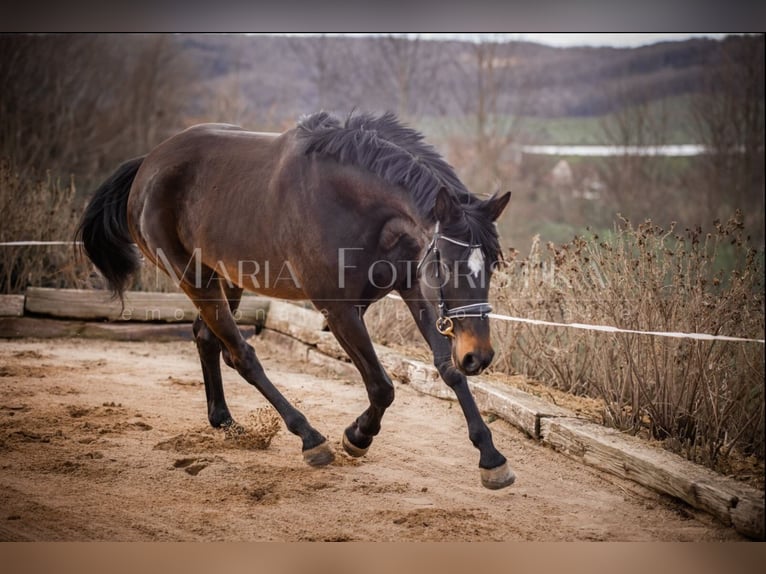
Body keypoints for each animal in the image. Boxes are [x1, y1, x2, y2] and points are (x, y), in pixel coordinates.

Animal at [76, 110, 515, 489]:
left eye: (493, 263)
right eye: (446, 263)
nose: (479, 357)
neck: (357, 206)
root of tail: (148, 164)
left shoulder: (411, 288)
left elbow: (448, 370)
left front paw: (491, 459)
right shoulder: (339, 311)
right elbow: (381, 386)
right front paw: (357, 436)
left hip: (226, 277)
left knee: (206, 338)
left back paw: (225, 422)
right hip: (196, 279)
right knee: (242, 355)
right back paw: (309, 438)